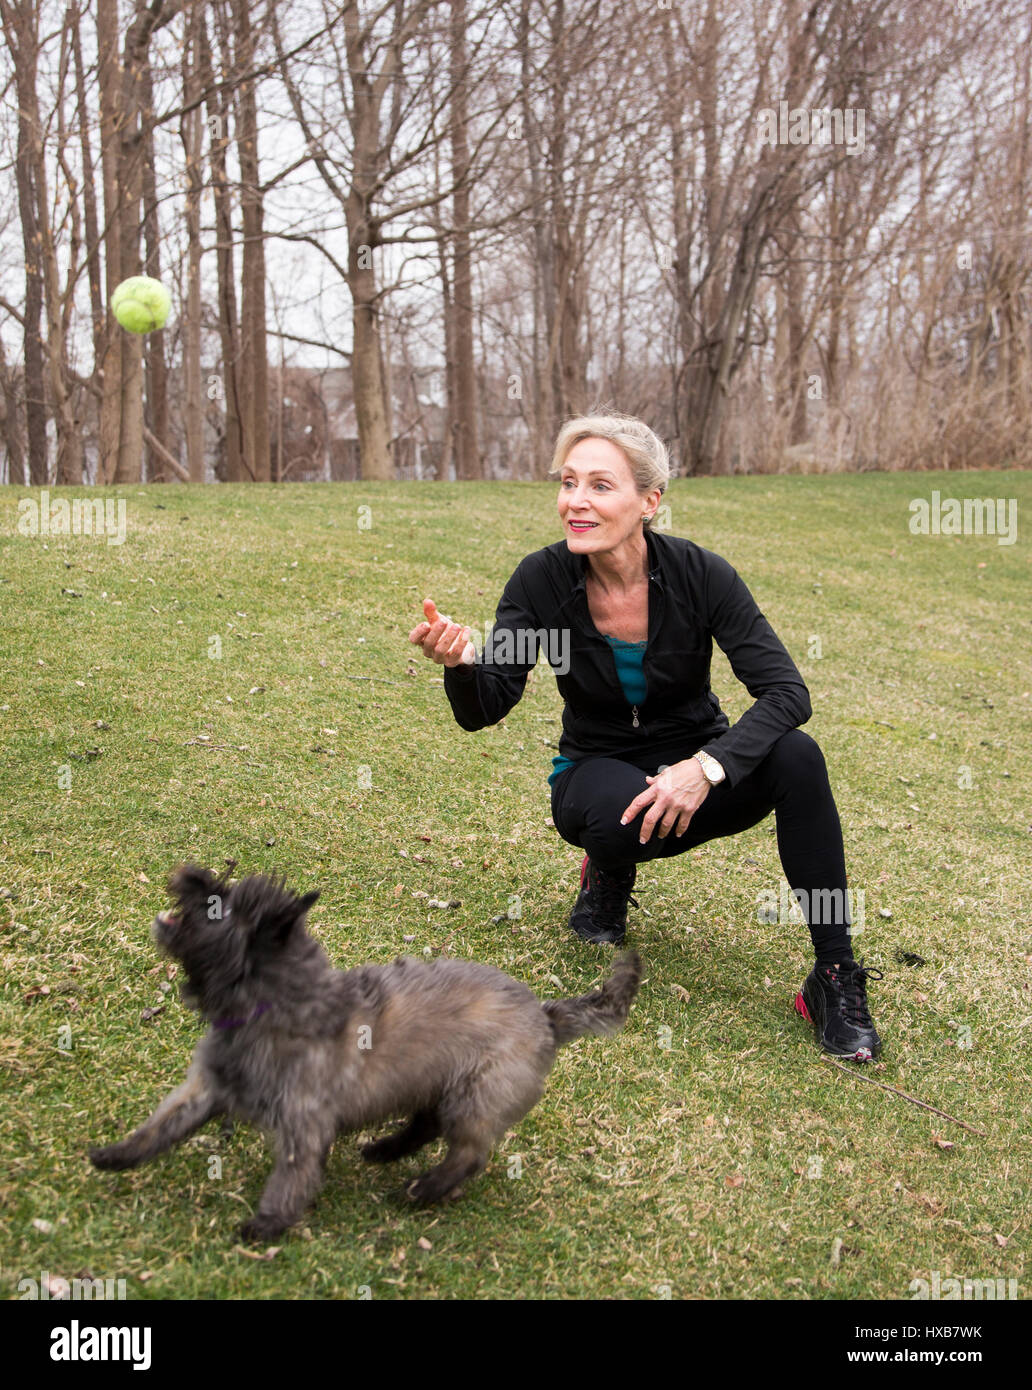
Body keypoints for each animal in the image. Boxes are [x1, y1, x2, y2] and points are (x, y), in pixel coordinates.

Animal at [91, 861, 639, 1245]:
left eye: (218, 902)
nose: (190, 874)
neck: (275, 1001)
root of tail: (546, 1015)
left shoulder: (303, 1125)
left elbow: (292, 1176)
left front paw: (266, 1224)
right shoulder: (206, 1090)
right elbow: (162, 1126)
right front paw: (119, 1154)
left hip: (475, 1096)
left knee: (468, 1153)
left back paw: (426, 1188)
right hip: (438, 1084)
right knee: (425, 1125)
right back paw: (385, 1150)